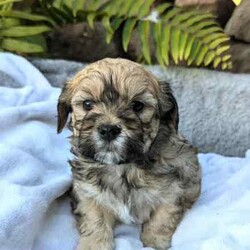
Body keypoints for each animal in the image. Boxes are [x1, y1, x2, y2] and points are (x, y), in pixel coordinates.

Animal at [57, 58, 201, 250]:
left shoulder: (173, 192)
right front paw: (94, 244)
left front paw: (154, 241)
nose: (109, 130)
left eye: (137, 105)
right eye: (87, 104)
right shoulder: (87, 194)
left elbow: (161, 219)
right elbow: (94, 220)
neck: (123, 167)